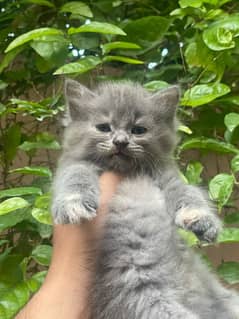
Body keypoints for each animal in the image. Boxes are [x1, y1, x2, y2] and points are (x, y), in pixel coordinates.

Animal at [51, 79, 238, 318]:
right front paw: (73, 204)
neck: (127, 172)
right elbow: (76, 177)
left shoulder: (169, 179)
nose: (120, 141)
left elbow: (188, 194)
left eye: (138, 130)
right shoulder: (74, 164)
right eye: (104, 127)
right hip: (142, 295)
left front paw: (201, 219)